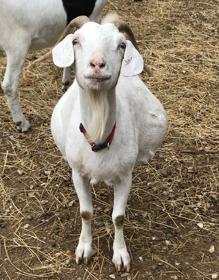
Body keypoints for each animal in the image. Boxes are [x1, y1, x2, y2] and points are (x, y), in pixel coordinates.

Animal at [49, 15, 168, 272]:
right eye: (76, 40)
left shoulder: (125, 176)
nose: (97, 64)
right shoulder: (78, 173)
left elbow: (118, 217)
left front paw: (121, 255)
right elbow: (85, 212)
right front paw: (84, 249)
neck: (99, 136)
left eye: (121, 44)